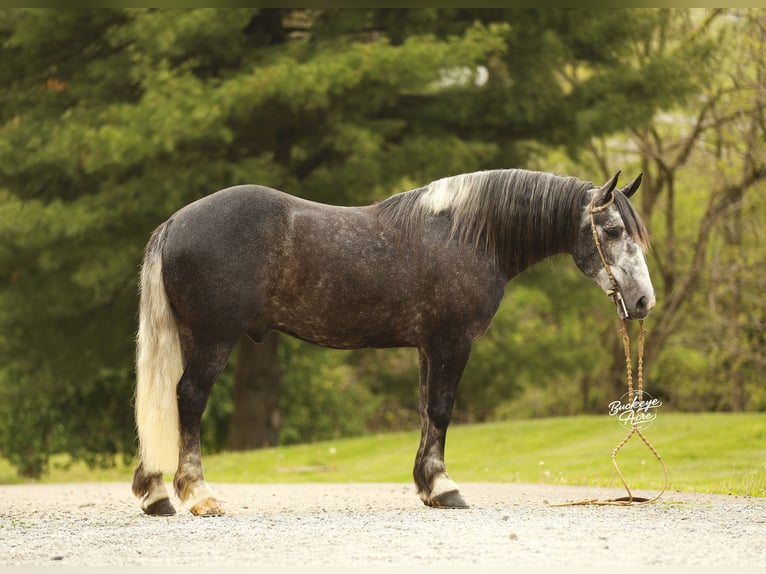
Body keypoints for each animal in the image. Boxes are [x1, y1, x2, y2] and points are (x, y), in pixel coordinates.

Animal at [131, 168, 655, 516]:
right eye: (612, 231)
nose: (643, 301)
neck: (468, 234)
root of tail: (173, 224)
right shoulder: (451, 341)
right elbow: (441, 409)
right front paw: (444, 488)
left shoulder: (428, 346)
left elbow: (426, 410)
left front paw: (427, 487)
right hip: (212, 339)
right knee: (187, 400)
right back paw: (198, 495)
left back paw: (155, 494)